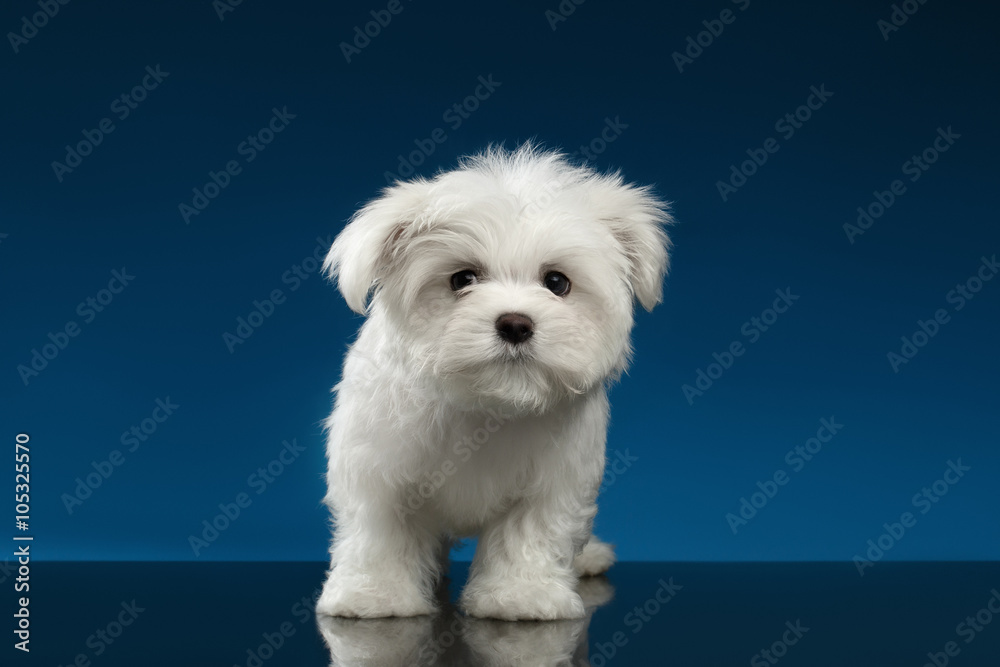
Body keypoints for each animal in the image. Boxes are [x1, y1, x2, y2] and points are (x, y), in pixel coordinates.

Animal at [314, 145, 672, 620]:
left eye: (557, 282)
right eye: (462, 279)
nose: (516, 323)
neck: (487, 404)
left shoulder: (554, 481)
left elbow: (530, 531)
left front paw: (520, 595)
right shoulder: (379, 465)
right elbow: (381, 531)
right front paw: (375, 594)